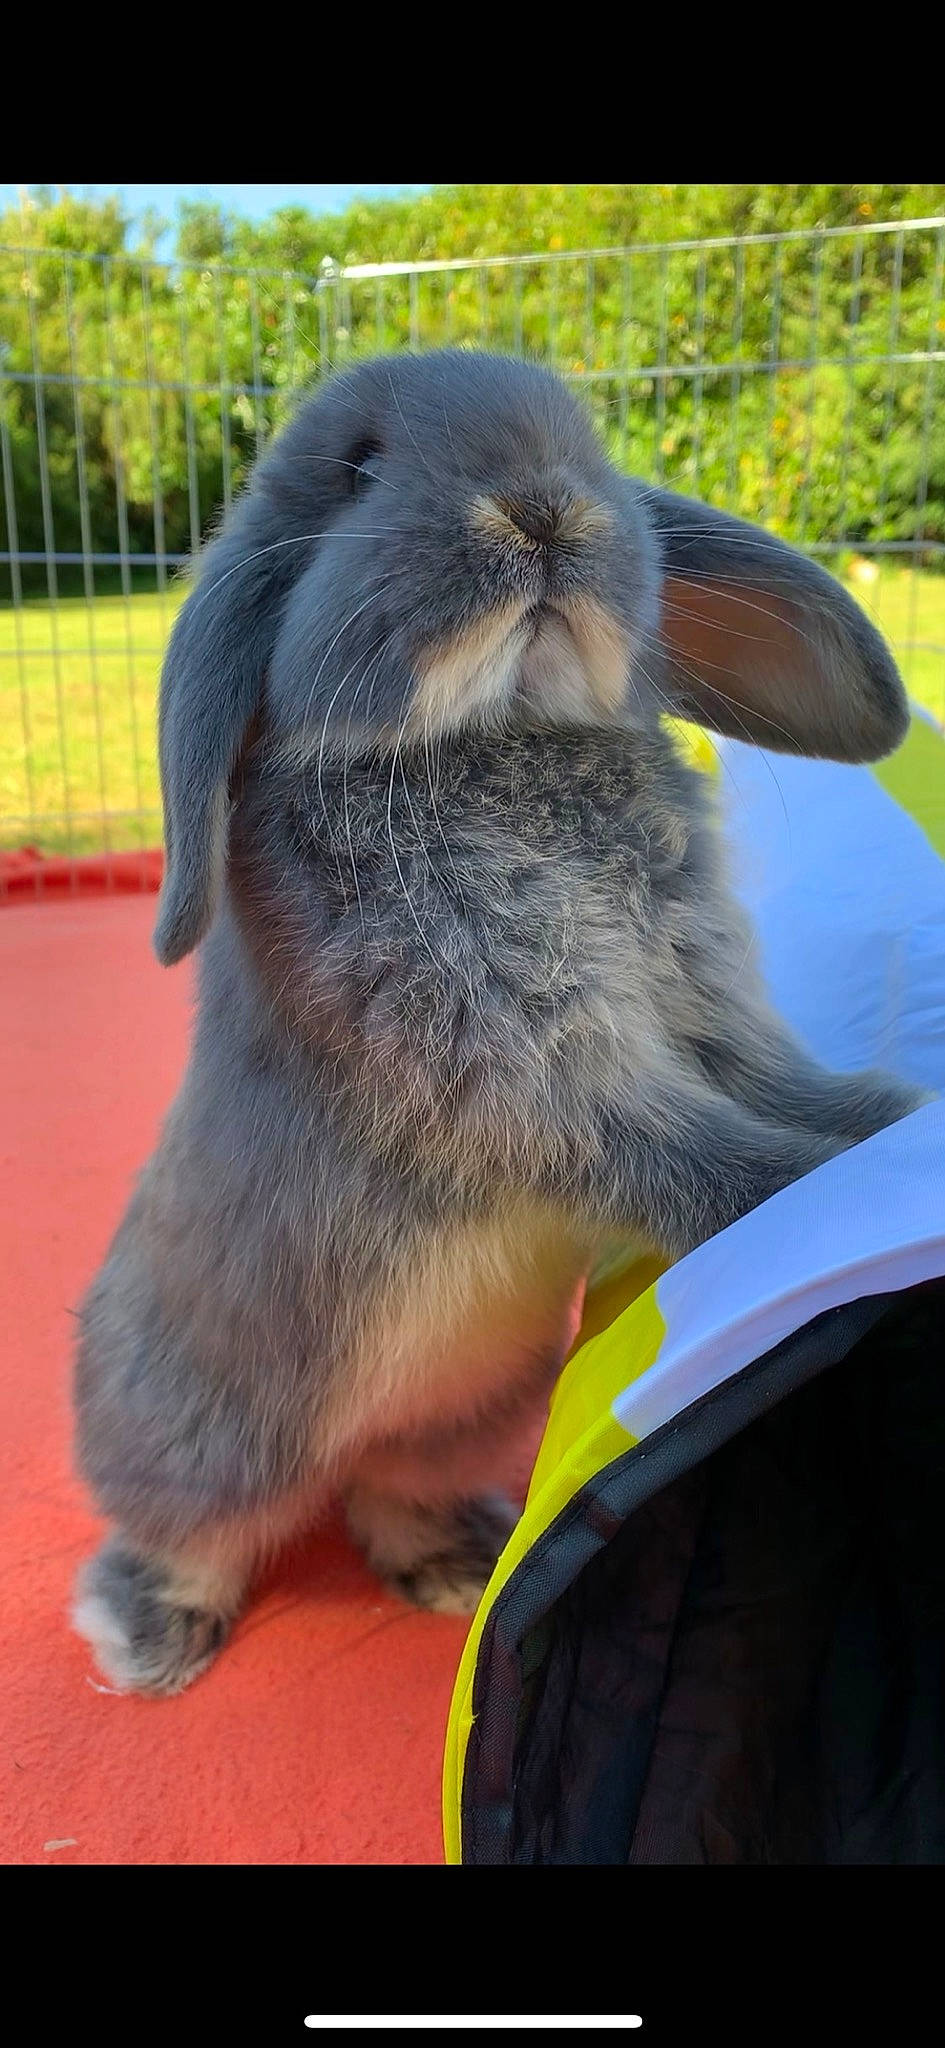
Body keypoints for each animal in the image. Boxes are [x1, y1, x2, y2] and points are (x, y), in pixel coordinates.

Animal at [72, 347, 925, 1696]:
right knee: (182, 1532)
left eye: (589, 446)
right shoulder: (525, 1065)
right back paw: (146, 1635)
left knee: (387, 1489)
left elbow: (769, 1072)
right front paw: (813, 1181)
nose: (541, 506)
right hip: (204, 1439)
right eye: (359, 466)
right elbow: (681, 1148)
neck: (503, 730)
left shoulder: (699, 997)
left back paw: (453, 1565)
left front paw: (884, 1110)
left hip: (458, 1415)